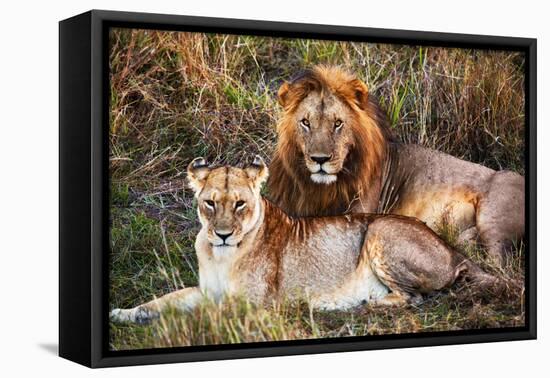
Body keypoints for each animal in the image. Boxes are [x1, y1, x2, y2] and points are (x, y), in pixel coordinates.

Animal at [110, 155, 506, 324]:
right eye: (210, 203)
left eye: (239, 204)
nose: (222, 234)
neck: (221, 255)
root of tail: (453, 251)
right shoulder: (206, 290)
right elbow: (165, 300)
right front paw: (125, 313)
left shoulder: (257, 304)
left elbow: (209, 313)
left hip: (379, 229)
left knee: (415, 298)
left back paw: (354, 304)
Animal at [270, 65, 528, 266]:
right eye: (305, 122)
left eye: (338, 124)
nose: (320, 159)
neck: (320, 188)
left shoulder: (361, 211)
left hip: (494, 214)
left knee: (499, 262)